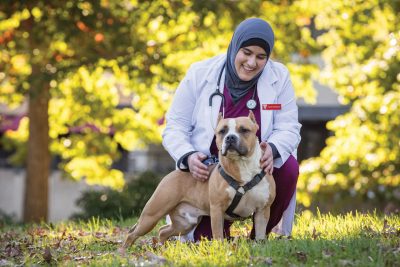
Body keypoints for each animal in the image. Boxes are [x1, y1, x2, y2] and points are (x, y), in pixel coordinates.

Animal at [122, 112, 276, 250]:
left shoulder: (262, 210)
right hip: (151, 216)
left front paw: (260, 247)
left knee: (163, 231)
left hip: (185, 223)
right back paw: (125, 251)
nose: (230, 137)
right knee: (132, 234)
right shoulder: (217, 209)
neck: (243, 166)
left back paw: (162, 248)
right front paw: (221, 250)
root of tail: (171, 174)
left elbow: (260, 234)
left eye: (244, 130)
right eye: (222, 131)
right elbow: (218, 235)